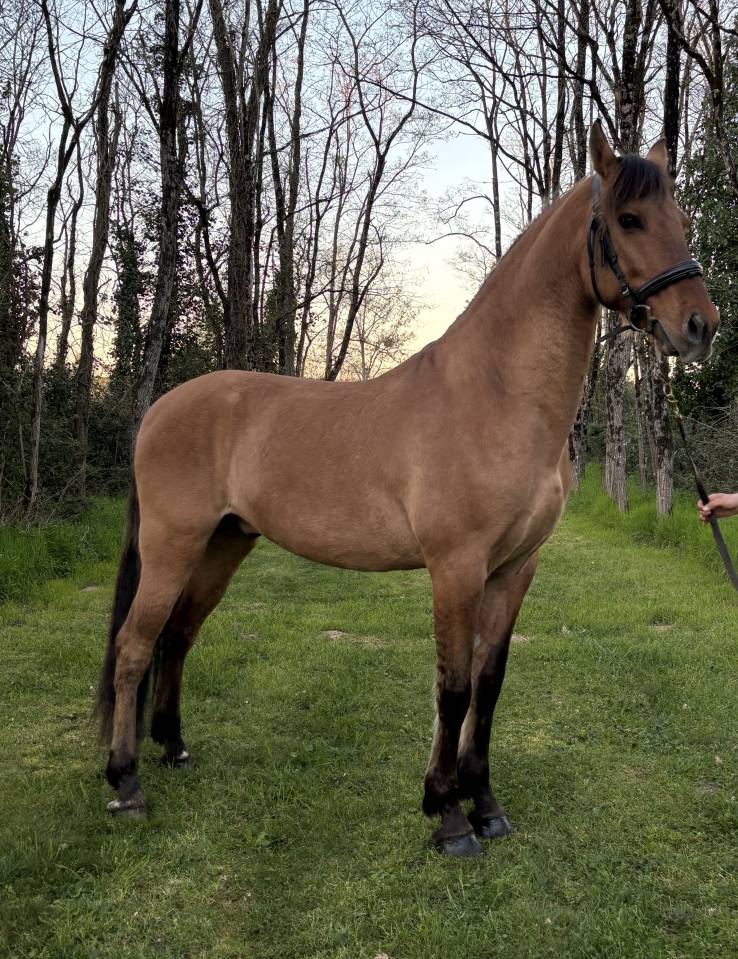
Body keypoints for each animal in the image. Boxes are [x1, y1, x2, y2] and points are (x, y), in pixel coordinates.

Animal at [97, 122, 718, 857]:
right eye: (628, 220)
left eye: (682, 221)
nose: (701, 325)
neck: (495, 396)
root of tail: (159, 410)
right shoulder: (456, 567)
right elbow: (452, 688)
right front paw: (448, 817)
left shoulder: (515, 568)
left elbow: (489, 683)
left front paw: (486, 805)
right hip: (173, 544)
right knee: (134, 646)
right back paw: (126, 782)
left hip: (224, 543)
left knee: (178, 636)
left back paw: (174, 749)